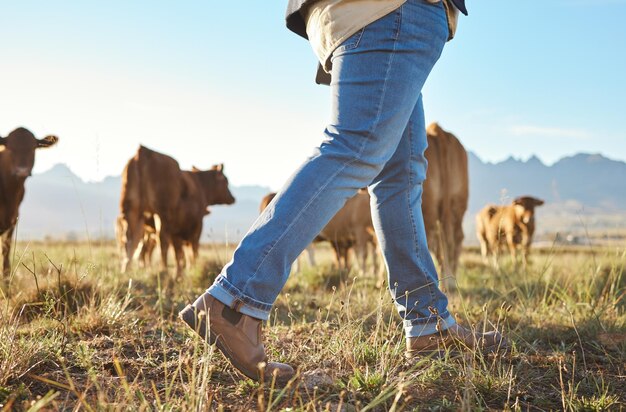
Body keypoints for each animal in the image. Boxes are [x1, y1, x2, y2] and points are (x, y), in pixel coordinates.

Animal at [117, 146, 234, 276]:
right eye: (226, 181)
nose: (232, 198)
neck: (200, 185)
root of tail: (143, 151)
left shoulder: (177, 231)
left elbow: (179, 253)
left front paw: (181, 271)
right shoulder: (197, 225)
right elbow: (191, 250)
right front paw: (191, 268)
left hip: (132, 210)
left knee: (131, 240)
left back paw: (126, 269)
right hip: (162, 213)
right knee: (161, 241)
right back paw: (163, 269)